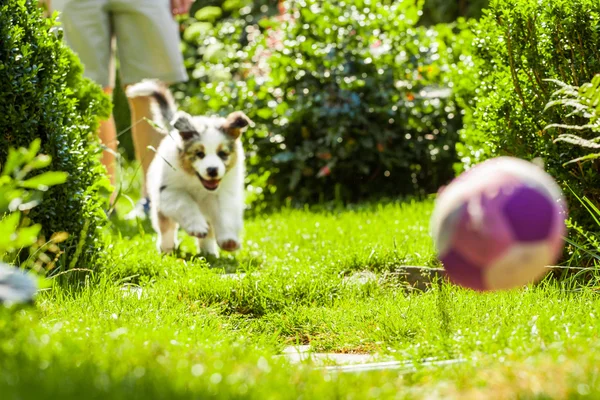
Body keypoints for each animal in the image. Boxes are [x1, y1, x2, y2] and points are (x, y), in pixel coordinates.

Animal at [125, 80, 250, 256]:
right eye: (199, 153)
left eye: (223, 154)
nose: (212, 170)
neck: (198, 183)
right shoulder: (169, 191)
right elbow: (185, 204)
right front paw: (197, 227)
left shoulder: (225, 192)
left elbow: (224, 213)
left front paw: (229, 240)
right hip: (160, 206)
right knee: (166, 227)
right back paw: (167, 247)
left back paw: (208, 252)